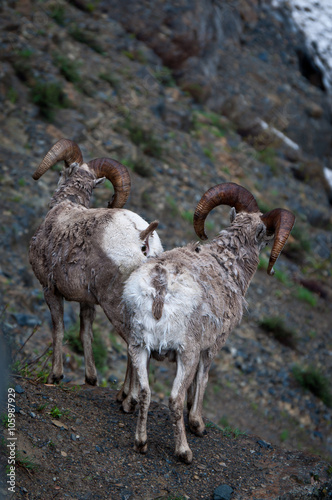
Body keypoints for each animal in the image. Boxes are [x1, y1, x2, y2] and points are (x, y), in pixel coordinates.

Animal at [29, 140, 162, 386]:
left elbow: (58, 329)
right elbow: (86, 334)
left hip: (116, 305)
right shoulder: (87, 300)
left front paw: (55, 375)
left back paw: (127, 395)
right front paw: (91, 379)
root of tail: (143, 237)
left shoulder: (50, 289)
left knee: (135, 345)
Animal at [123, 184, 294, 464]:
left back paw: (141, 442)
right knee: (174, 399)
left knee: (146, 392)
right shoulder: (211, 347)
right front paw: (198, 425)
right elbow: (202, 380)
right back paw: (184, 452)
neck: (228, 264)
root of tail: (160, 286)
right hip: (186, 353)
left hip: (138, 347)